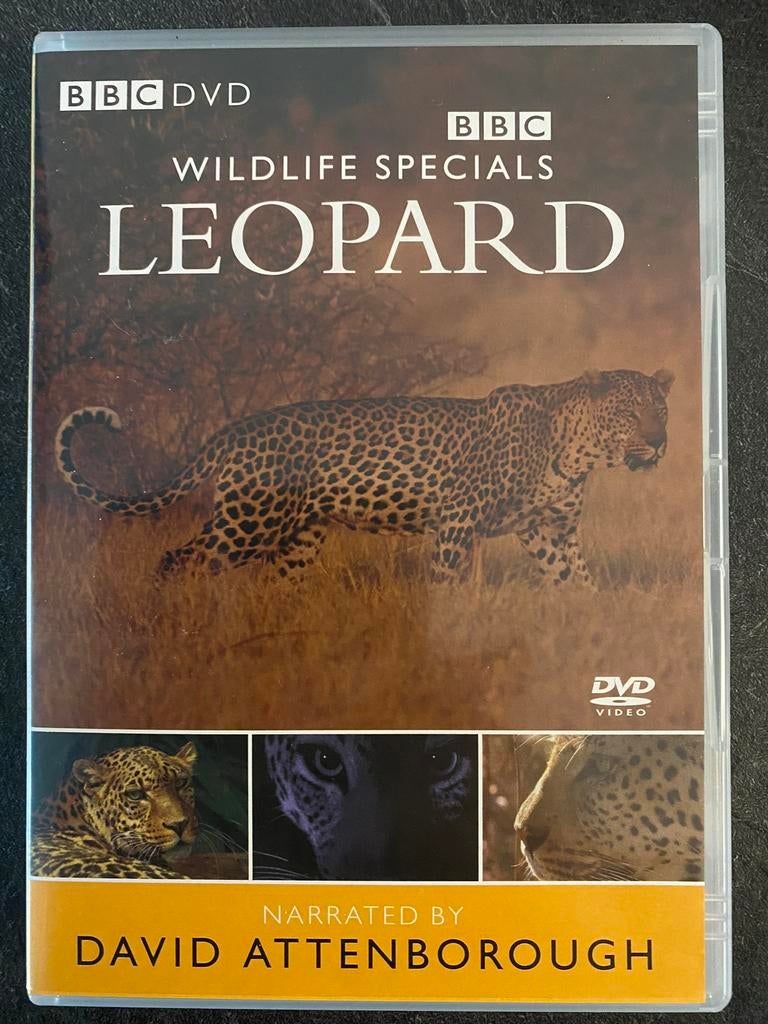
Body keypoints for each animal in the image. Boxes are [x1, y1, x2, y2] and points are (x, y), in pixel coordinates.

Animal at [55, 367, 673, 586]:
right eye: (629, 412)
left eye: (661, 411)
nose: (660, 443)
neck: (579, 453)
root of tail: (233, 430)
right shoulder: (457, 524)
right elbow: (446, 588)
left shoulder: (550, 531)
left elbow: (578, 584)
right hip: (247, 524)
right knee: (180, 559)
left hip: (298, 536)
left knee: (277, 582)